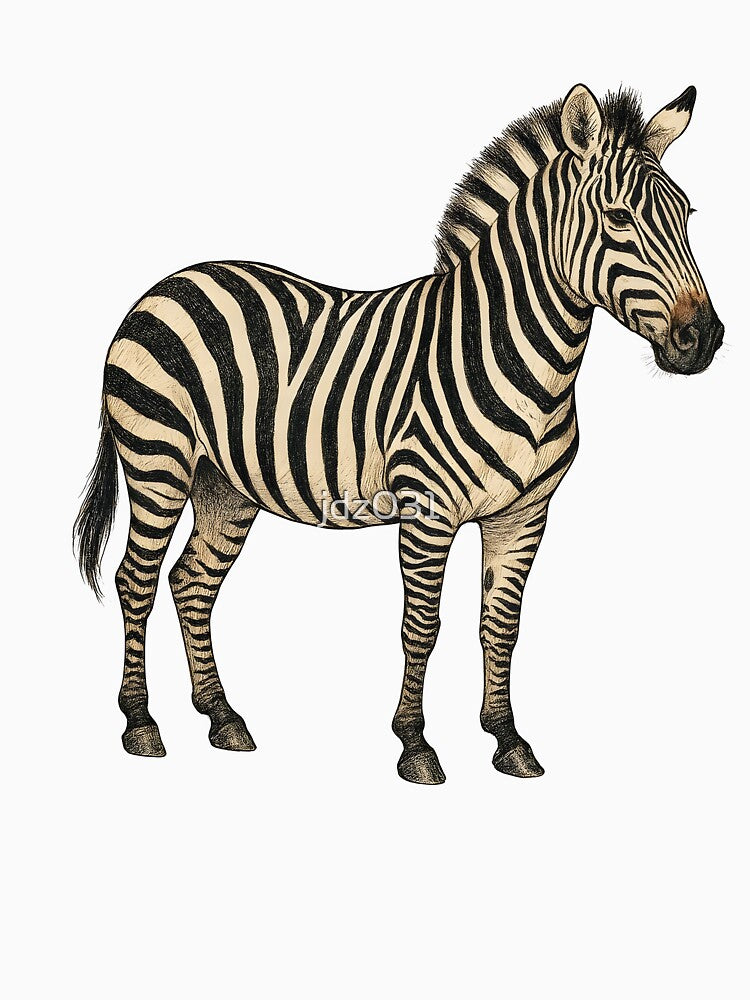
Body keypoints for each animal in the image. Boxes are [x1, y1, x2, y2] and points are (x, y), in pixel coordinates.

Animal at [74, 83, 723, 783]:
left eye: (688, 216)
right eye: (618, 218)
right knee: (135, 580)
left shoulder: (524, 514)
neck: (514, 355)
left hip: (224, 484)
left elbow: (502, 625)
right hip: (157, 460)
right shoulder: (426, 508)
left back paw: (223, 717)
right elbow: (423, 626)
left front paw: (507, 739)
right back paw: (141, 723)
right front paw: (415, 744)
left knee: (191, 582)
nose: (705, 339)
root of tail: (167, 284)